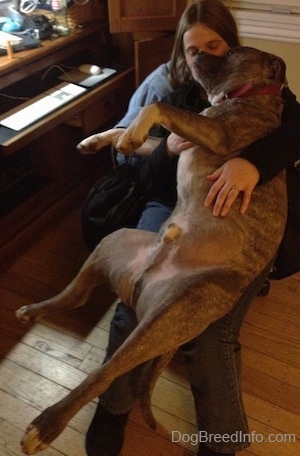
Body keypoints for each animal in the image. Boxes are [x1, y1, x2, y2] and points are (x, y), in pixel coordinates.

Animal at [15, 48, 286, 454]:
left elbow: (157, 106)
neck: (253, 95)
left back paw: (46, 426)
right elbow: (140, 135)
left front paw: (127, 132)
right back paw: (33, 310)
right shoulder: (177, 139)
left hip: (163, 321)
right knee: (76, 297)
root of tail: (139, 285)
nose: (198, 52)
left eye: (230, 52)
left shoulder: (219, 134)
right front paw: (100, 140)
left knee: (104, 373)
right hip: (113, 244)